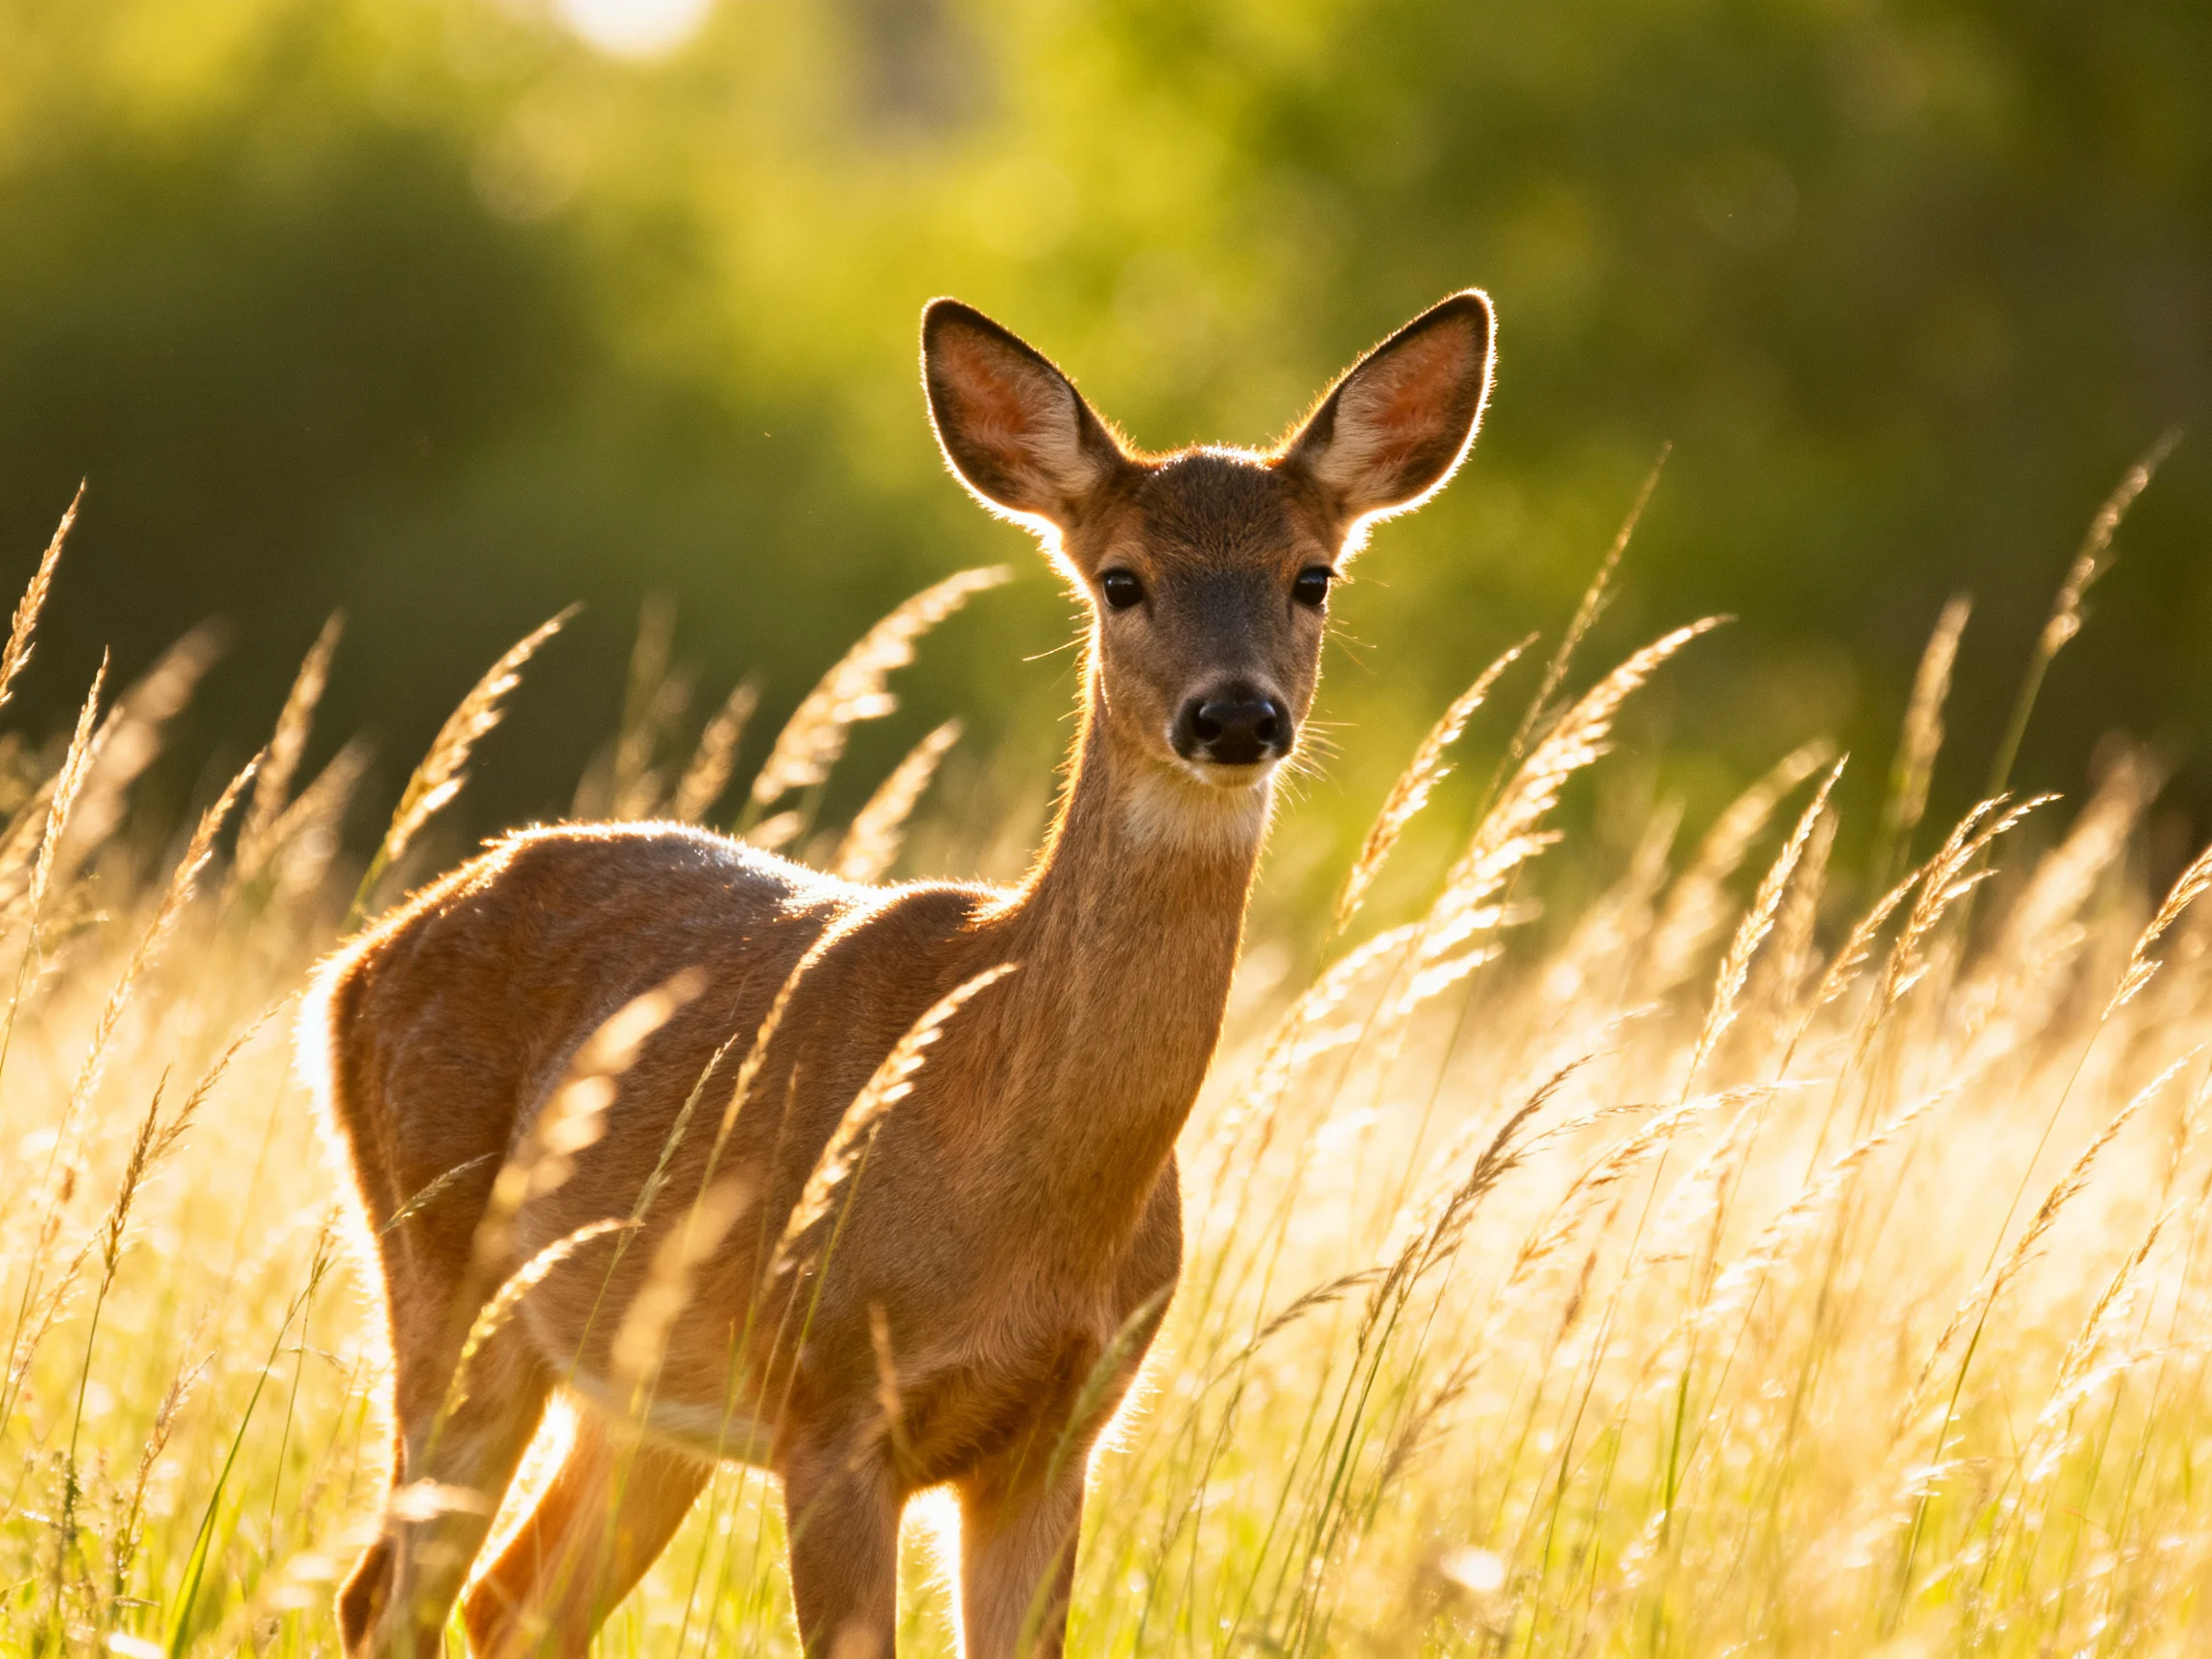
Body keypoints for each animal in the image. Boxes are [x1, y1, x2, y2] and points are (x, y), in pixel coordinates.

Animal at [302, 286, 1496, 1659]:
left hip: (641, 1389)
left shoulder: (1059, 1436)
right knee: (388, 1590)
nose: (1235, 716)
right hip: (446, 1272)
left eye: (1313, 576)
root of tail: (355, 964)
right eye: (1121, 580)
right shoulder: (829, 1406)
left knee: (514, 1604)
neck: (1008, 1182)